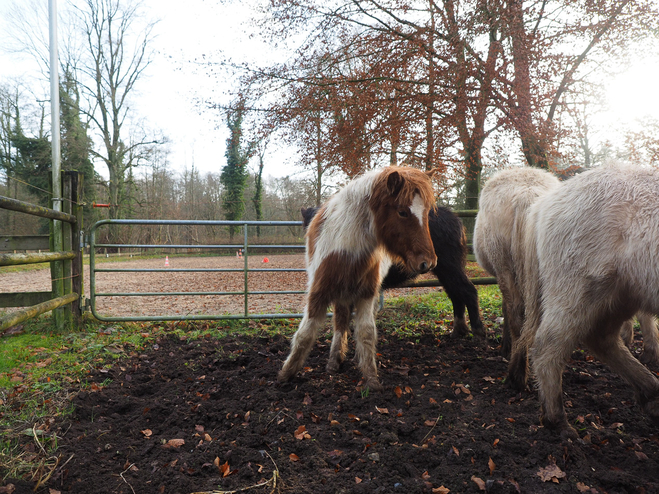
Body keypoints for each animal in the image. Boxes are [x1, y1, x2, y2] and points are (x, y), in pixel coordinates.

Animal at [278, 166, 438, 390]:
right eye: (402, 212)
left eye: (426, 212)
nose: (428, 262)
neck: (348, 250)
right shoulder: (318, 292)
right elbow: (305, 334)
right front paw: (285, 375)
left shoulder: (366, 294)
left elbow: (366, 332)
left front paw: (371, 379)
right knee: (340, 321)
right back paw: (333, 362)